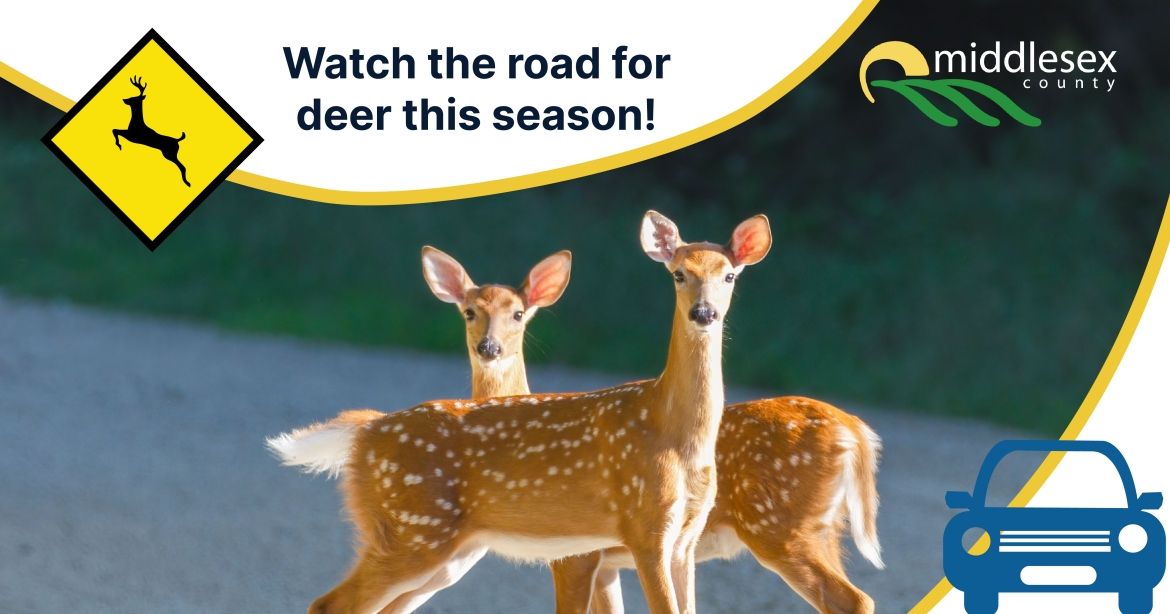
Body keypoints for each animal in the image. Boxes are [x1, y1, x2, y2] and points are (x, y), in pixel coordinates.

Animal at [267, 210, 772, 614]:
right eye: (678, 274)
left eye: (730, 276)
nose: (704, 313)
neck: (673, 432)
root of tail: (366, 432)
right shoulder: (643, 527)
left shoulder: (683, 538)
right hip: (413, 530)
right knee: (330, 604)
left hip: (441, 548)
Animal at [423, 247, 883, 613]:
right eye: (469, 312)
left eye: (518, 314)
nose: (489, 348)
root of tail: (854, 429)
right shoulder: (606, 563)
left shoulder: (576, 556)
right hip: (823, 528)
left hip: (780, 525)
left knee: (851, 598)